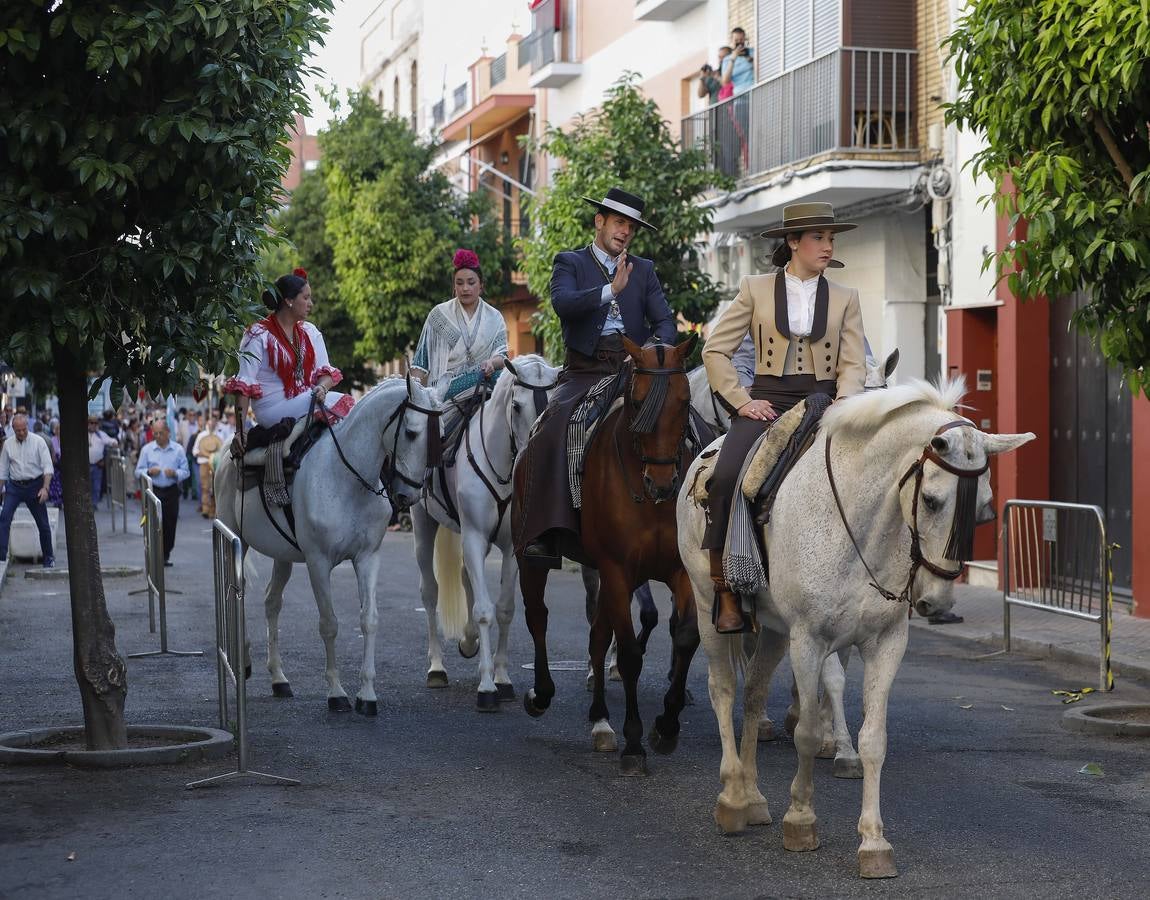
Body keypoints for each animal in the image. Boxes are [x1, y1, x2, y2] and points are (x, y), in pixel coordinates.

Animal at [213, 377, 437, 712]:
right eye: (411, 432)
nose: (408, 496)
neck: (347, 478)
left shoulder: (368, 557)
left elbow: (369, 620)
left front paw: (366, 694)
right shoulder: (318, 562)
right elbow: (329, 623)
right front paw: (336, 692)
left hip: (283, 555)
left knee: (271, 602)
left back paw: (278, 678)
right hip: (235, 542)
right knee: (233, 598)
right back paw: (246, 660)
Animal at [414, 351, 561, 712]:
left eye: (553, 403)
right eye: (517, 406)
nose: (531, 454)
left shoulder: (511, 548)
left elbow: (505, 610)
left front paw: (502, 679)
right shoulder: (474, 536)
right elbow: (483, 611)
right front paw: (486, 687)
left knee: (466, 575)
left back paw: (468, 642)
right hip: (424, 524)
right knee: (430, 592)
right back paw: (436, 667)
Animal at [515, 335, 699, 772]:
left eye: (684, 400)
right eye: (637, 401)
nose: (662, 483)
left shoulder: (676, 571)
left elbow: (684, 637)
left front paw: (666, 725)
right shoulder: (616, 570)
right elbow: (630, 654)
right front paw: (634, 742)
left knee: (598, 636)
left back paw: (600, 720)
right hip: (531, 555)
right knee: (538, 617)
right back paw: (541, 694)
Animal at [671, 379, 1035, 878]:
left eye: (984, 511)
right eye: (931, 500)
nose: (936, 602)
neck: (863, 525)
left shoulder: (885, 643)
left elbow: (874, 740)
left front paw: (874, 842)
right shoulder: (810, 639)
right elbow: (807, 730)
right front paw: (801, 821)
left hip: (774, 630)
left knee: (754, 695)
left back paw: (753, 796)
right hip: (710, 606)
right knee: (723, 689)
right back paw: (731, 798)